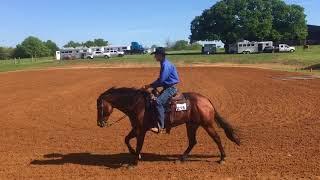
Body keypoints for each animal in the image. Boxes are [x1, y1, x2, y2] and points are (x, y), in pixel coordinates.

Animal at [97, 87, 240, 166]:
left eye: (99, 106)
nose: (99, 123)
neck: (138, 104)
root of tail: (206, 100)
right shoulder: (136, 128)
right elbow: (126, 139)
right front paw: (134, 154)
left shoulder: (141, 130)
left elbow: (139, 145)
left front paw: (135, 162)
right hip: (191, 125)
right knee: (192, 142)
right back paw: (181, 159)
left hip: (207, 124)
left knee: (217, 138)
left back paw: (222, 158)